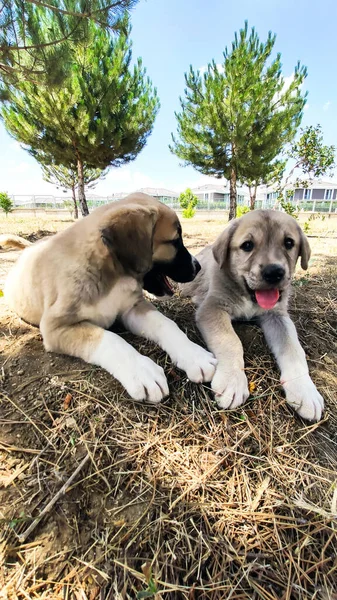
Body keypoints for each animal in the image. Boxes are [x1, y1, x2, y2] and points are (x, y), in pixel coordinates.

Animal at [3, 195, 215, 400]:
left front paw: (194, 355)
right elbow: (110, 338)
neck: (112, 276)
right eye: (175, 241)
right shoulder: (55, 327)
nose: (198, 267)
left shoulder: (132, 308)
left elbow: (166, 324)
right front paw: (142, 371)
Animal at [181, 211, 322, 422]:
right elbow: (230, 341)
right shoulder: (212, 308)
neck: (249, 296)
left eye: (289, 243)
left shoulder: (277, 316)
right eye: (247, 245)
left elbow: (293, 349)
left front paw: (305, 390)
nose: (274, 272)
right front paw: (232, 380)